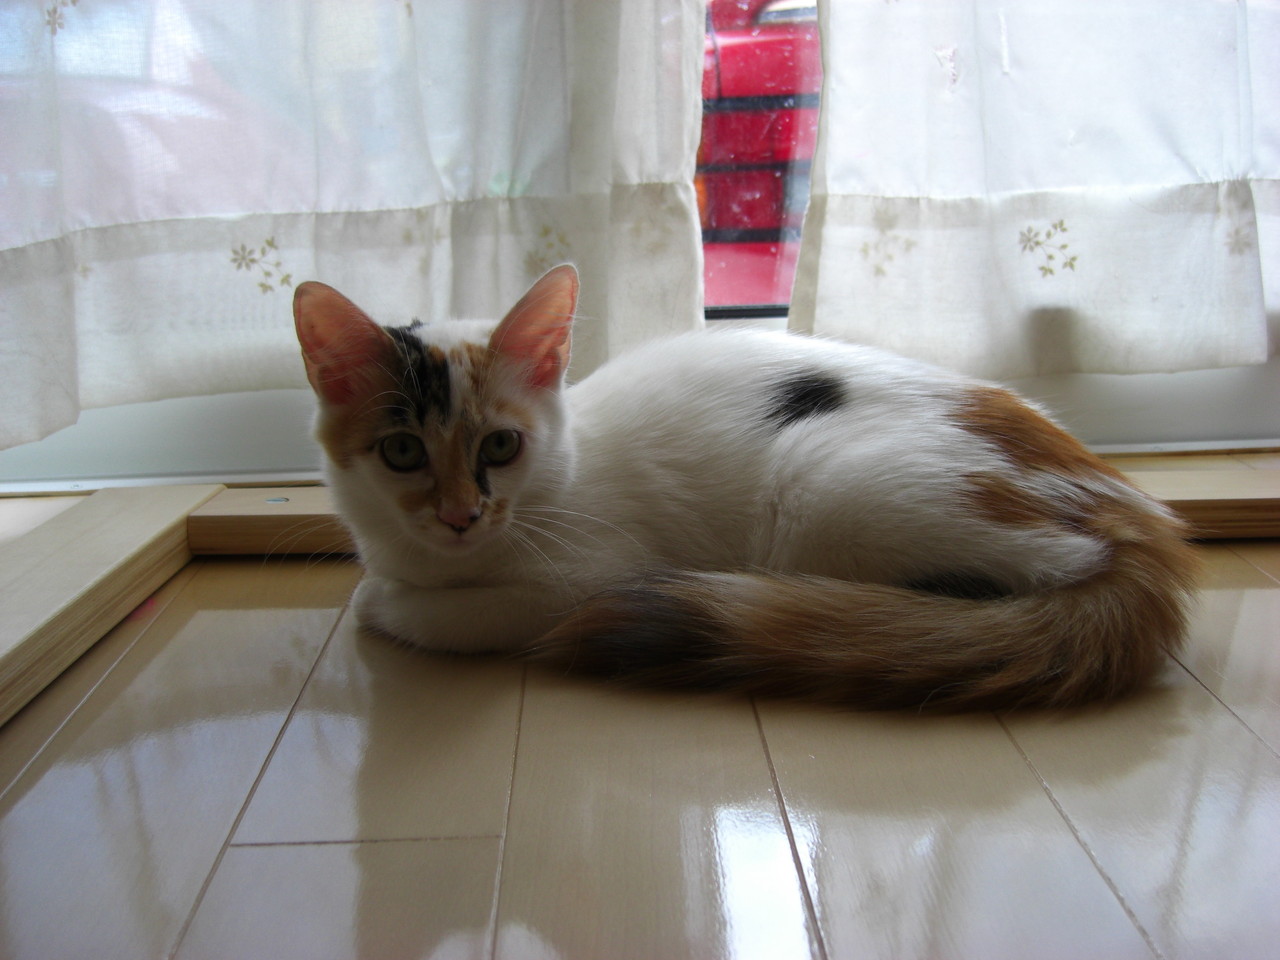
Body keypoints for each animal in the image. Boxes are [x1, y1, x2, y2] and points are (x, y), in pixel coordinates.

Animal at [294, 264, 1197, 710]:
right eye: (401, 451)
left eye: (502, 445)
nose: (459, 515)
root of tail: (1137, 515)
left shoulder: (585, 577)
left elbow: (424, 613)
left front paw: (384, 601)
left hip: (833, 490)